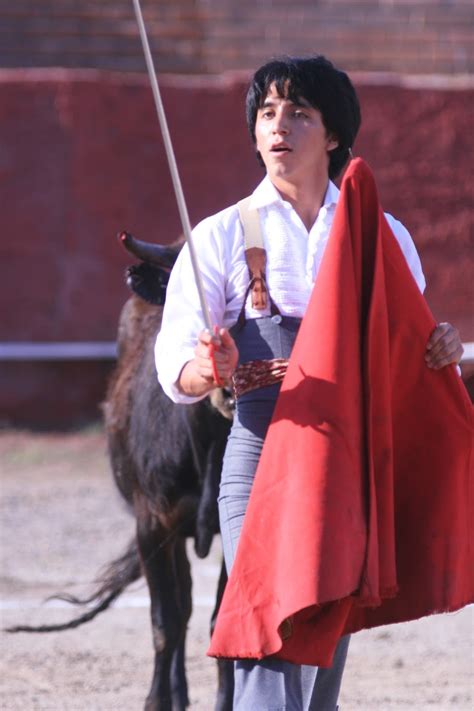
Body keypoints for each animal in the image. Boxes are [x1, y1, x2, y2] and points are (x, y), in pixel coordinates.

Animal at [7, 231, 235, 708]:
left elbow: (220, 622)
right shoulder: (152, 521)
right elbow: (165, 622)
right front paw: (156, 701)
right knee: (181, 604)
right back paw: (175, 693)